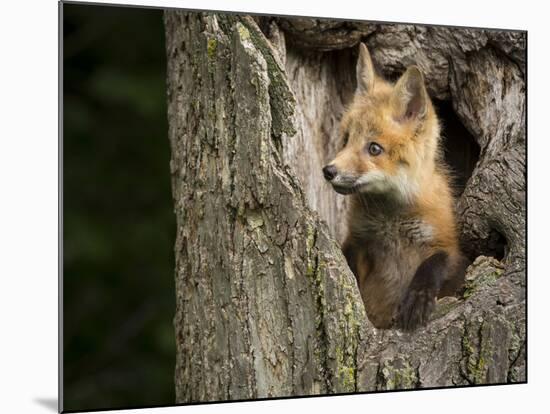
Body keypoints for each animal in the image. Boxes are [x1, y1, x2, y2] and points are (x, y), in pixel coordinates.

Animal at [324, 43, 470, 332]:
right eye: (346, 139)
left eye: (374, 148)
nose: (329, 171)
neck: (391, 222)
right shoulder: (358, 242)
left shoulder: (448, 244)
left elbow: (434, 263)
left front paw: (417, 299)